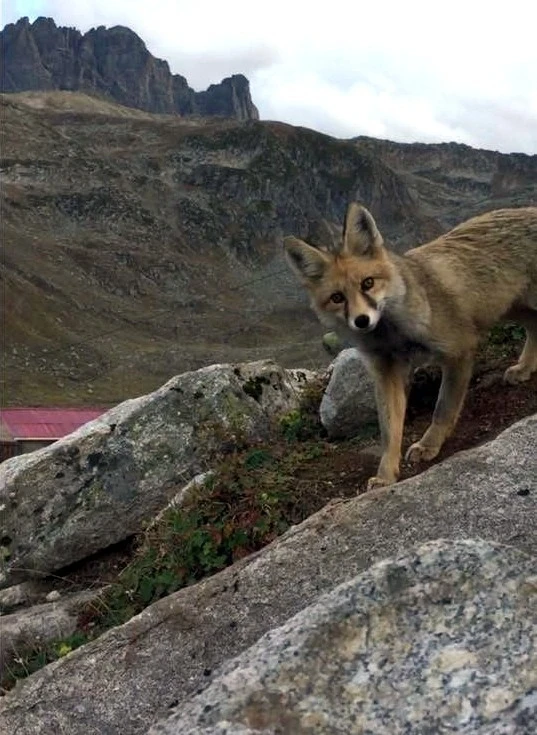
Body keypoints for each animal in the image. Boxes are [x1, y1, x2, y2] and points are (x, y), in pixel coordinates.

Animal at [282, 203, 536, 488]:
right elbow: (389, 432)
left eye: (368, 283)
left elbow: (442, 410)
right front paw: (386, 476)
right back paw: (524, 368)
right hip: (510, 309)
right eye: (337, 298)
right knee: (535, 326)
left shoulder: (459, 350)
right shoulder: (387, 372)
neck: (395, 335)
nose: (361, 320)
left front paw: (429, 445)